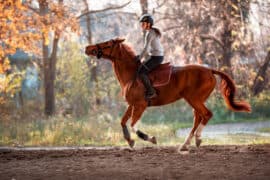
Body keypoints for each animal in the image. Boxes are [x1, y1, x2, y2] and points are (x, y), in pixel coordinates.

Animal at [85, 37, 251, 151]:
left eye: (107, 43)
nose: (87, 48)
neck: (132, 75)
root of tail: (209, 70)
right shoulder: (132, 104)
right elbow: (123, 121)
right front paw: (130, 141)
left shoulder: (140, 105)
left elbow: (132, 124)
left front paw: (150, 138)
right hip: (195, 100)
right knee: (198, 117)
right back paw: (186, 144)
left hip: (194, 99)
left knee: (206, 114)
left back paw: (196, 139)